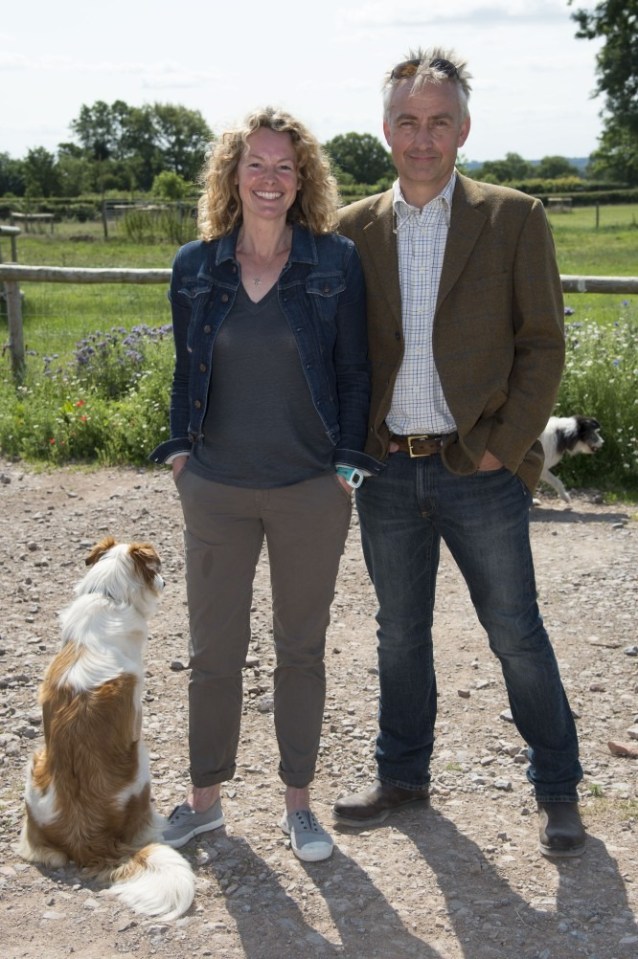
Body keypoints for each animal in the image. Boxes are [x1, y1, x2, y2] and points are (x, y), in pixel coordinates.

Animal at [19, 536, 195, 920]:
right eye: (157, 571)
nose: (166, 583)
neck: (108, 594)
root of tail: (88, 839)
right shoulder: (136, 713)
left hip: (36, 764)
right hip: (140, 760)